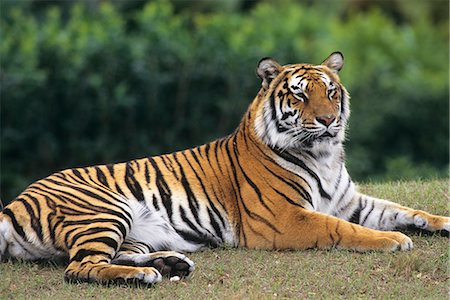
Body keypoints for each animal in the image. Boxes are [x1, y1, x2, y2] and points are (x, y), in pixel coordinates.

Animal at [0, 52, 448, 284]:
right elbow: (342, 229)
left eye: (331, 92)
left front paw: (440, 222)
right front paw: (394, 240)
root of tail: (15, 201)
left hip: (132, 233)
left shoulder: (348, 201)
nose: (328, 120)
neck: (323, 156)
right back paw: (147, 277)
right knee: (79, 267)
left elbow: (403, 209)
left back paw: (171, 264)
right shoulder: (284, 219)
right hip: (104, 210)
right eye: (300, 96)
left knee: (111, 256)